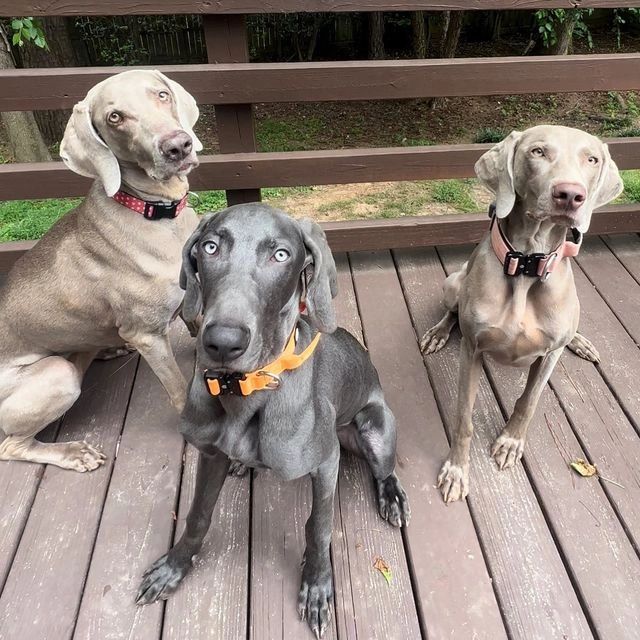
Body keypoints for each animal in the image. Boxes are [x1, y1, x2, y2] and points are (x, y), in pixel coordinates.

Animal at [0, 69, 202, 470]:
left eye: (162, 94)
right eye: (115, 117)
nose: (178, 146)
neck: (158, 214)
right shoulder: (147, 335)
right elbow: (177, 387)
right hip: (56, 375)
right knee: (11, 446)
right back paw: (74, 453)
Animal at [135, 202, 410, 636]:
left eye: (280, 255)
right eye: (210, 247)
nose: (222, 343)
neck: (244, 393)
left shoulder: (326, 462)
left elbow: (318, 526)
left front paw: (317, 585)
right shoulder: (210, 455)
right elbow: (198, 515)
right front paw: (174, 568)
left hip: (375, 427)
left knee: (384, 471)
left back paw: (392, 496)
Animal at [422, 125, 624, 502]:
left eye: (592, 159)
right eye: (538, 151)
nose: (570, 194)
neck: (528, 263)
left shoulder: (549, 354)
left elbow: (529, 401)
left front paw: (510, 442)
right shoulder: (472, 349)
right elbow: (464, 417)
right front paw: (457, 470)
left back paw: (581, 342)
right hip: (452, 282)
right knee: (451, 312)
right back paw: (436, 334)